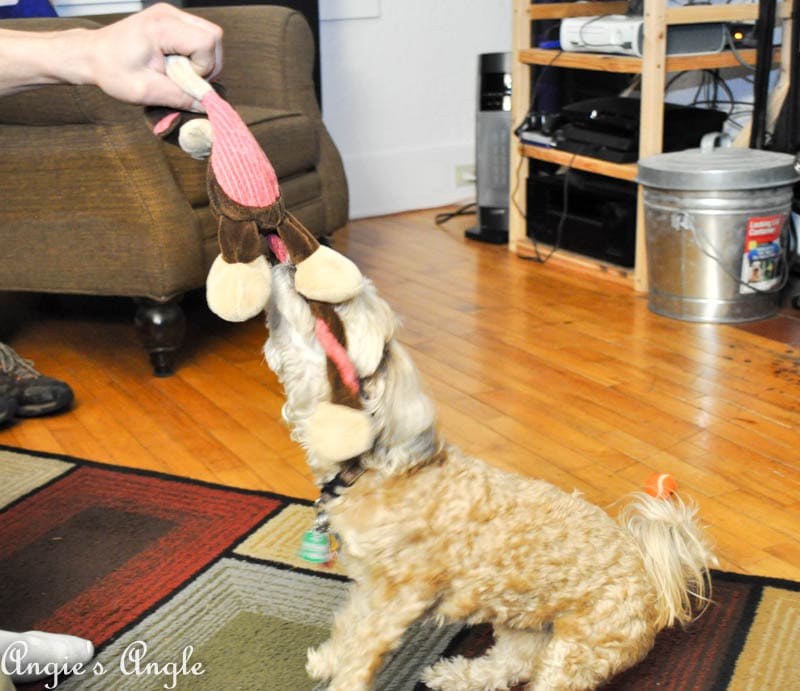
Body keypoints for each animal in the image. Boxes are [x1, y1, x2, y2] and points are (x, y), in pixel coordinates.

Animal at [266, 260, 716, 691]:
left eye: (341, 304)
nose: (292, 264)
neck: (371, 468)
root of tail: (653, 576)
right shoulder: (368, 586)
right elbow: (348, 627)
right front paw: (329, 659)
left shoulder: (401, 596)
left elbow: (363, 648)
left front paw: (343, 676)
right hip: (522, 619)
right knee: (511, 664)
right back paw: (453, 675)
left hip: (579, 647)